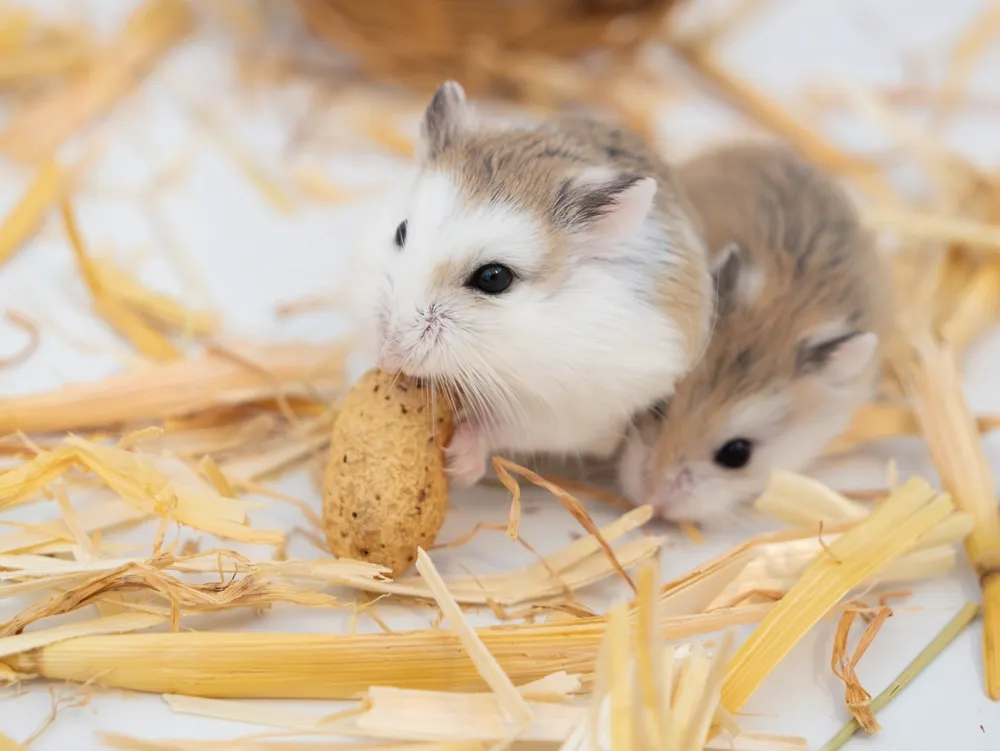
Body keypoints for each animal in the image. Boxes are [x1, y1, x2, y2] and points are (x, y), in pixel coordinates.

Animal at [361, 81, 715, 488]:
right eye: (401, 232)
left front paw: (458, 466)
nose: (389, 356)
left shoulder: (563, 413)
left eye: (494, 278)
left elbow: (498, 427)